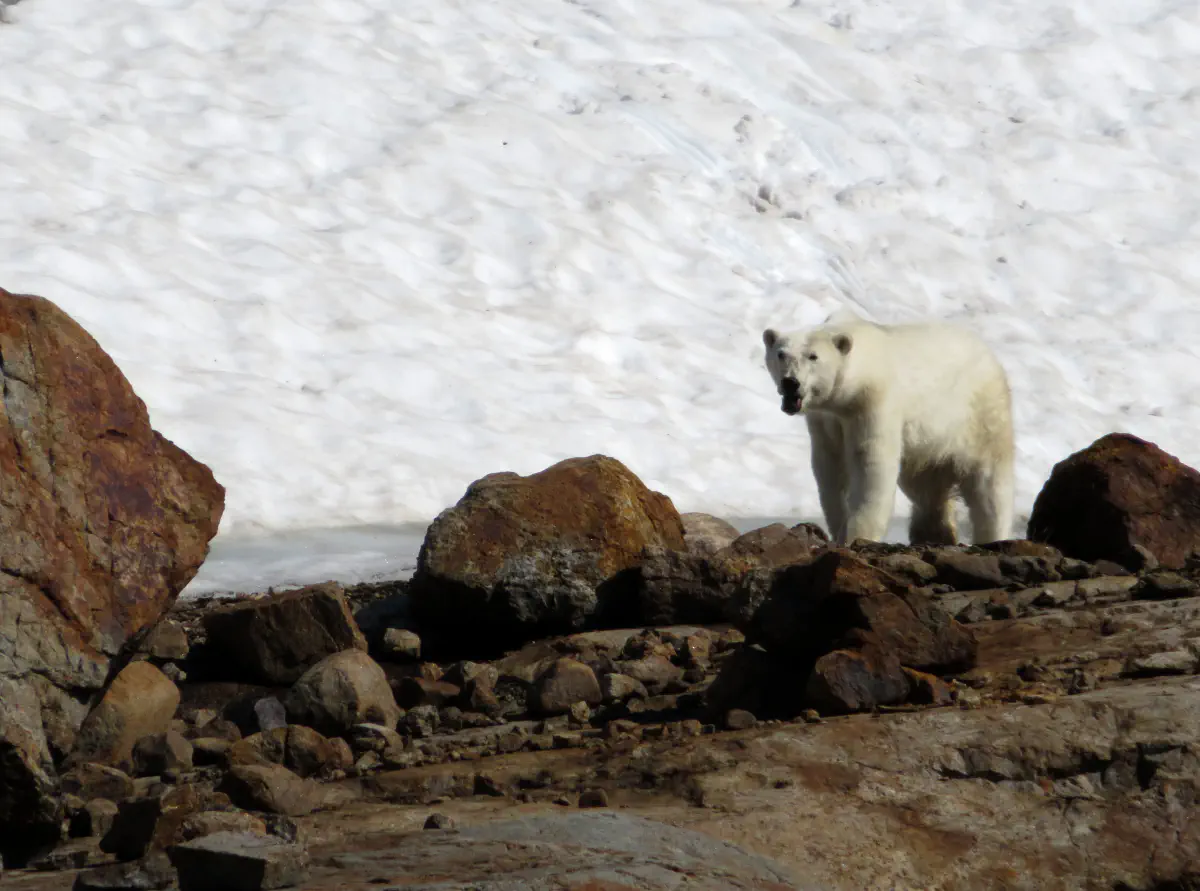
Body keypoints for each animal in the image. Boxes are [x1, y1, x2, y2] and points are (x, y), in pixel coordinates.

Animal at [763, 314, 1008, 552]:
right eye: (781, 354)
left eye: (813, 356)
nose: (790, 382)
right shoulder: (825, 419)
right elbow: (831, 467)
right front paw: (839, 526)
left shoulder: (872, 402)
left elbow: (871, 465)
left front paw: (856, 535)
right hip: (927, 442)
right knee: (925, 484)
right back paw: (934, 532)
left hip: (978, 414)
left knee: (989, 481)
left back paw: (991, 534)